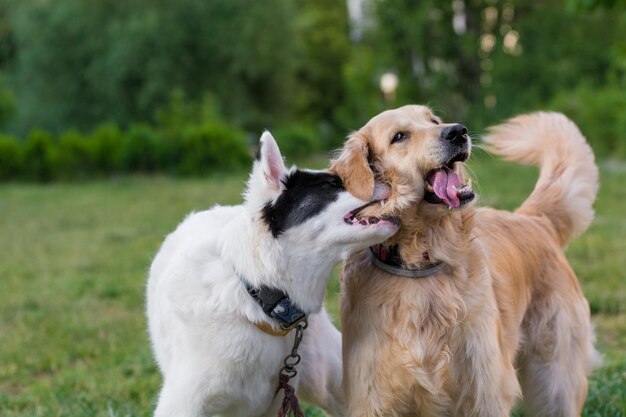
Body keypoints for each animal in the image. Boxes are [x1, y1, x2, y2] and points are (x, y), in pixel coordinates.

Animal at [332, 105, 600, 416]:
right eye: (399, 136)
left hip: (556, 380)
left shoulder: (485, 392)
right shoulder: (370, 397)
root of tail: (535, 219)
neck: (420, 262)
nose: (457, 131)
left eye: (433, 120)